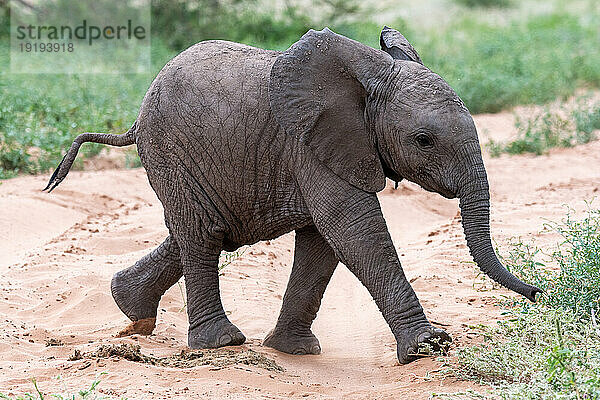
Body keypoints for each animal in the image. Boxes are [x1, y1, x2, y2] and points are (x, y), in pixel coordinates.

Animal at [47, 25, 540, 362]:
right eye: (424, 141)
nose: (537, 293)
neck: (365, 80)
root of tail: (135, 119)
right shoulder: (309, 144)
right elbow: (354, 229)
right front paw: (428, 346)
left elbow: (324, 242)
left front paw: (293, 351)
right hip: (170, 150)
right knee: (203, 234)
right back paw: (220, 343)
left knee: (201, 231)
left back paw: (133, 313)